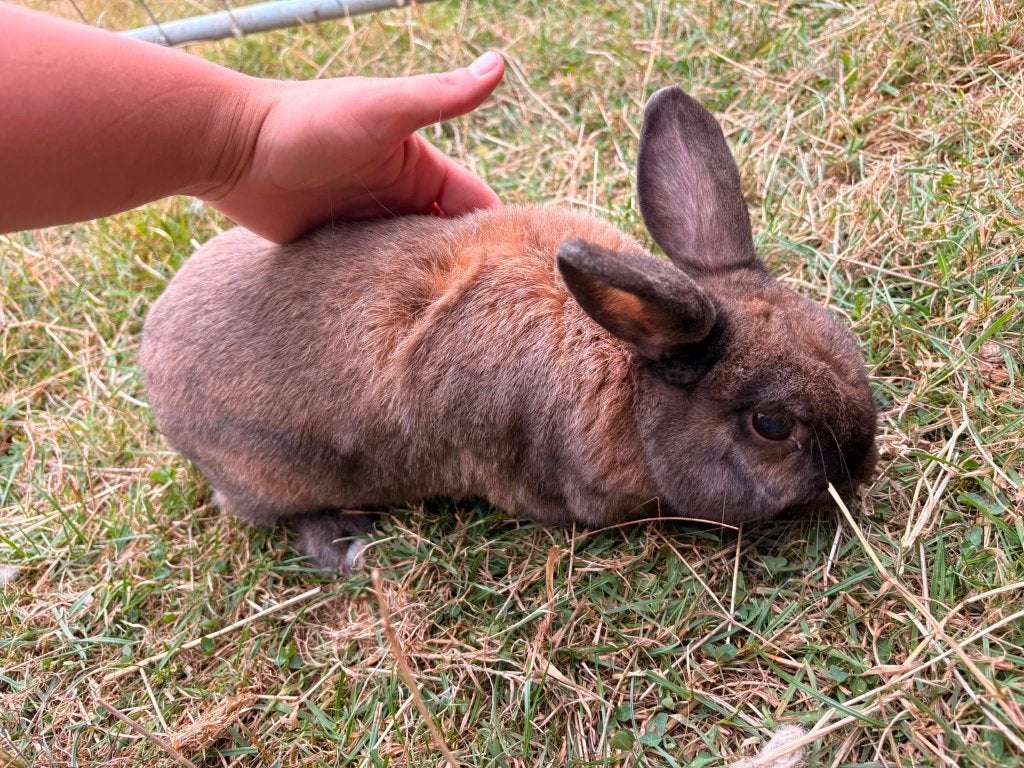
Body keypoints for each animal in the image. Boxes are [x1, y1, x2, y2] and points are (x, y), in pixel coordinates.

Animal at [140, 86, 878, 571]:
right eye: (772, 426)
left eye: (845, 342)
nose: (862, 468)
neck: (632, 380)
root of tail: (151, 358)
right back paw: (345, 545)